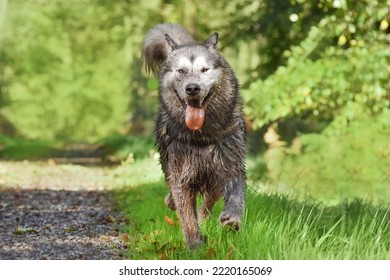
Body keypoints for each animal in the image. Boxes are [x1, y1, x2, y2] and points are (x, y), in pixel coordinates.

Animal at [142, 23, 245, 248]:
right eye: (181, 71)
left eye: (204, 70)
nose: (192, 88)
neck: (202, 136)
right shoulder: (181, 175)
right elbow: (186, 214)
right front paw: (195, 243)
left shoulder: (230, 164)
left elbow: (237, 194)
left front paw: (232, 217)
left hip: (213, 177)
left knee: (208, 202)